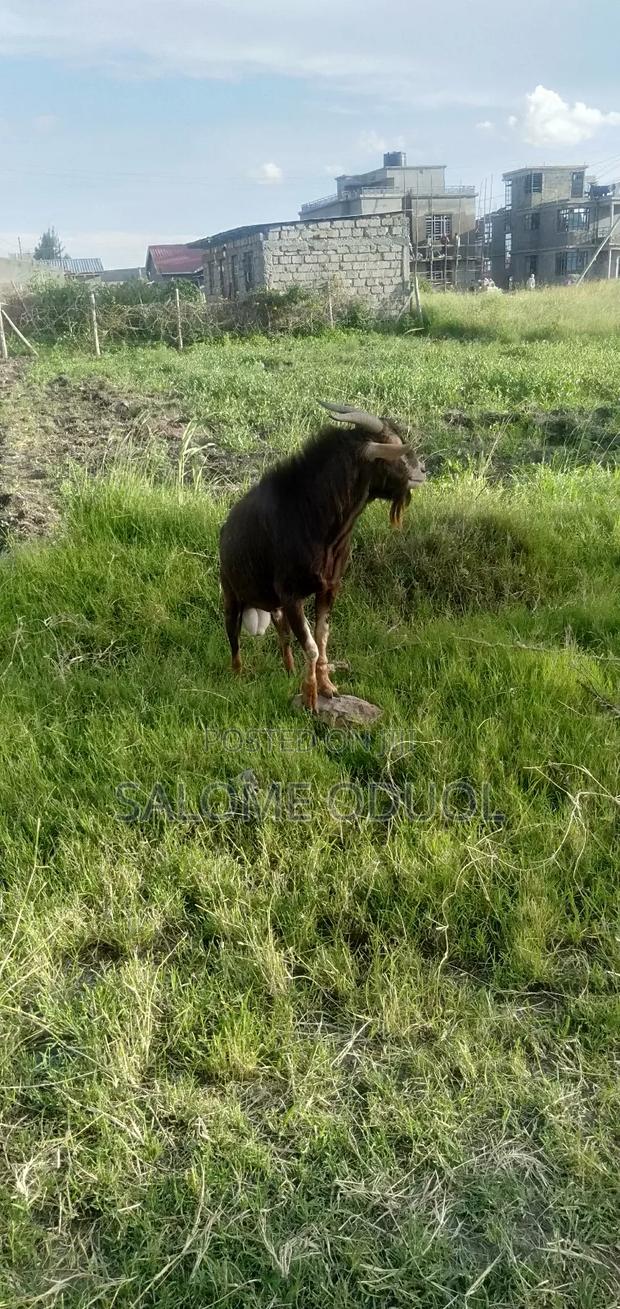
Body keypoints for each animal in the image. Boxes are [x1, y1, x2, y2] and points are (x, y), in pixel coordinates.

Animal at [219, 401, 426, 711]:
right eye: (396, 452)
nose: (422, 471)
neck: (318, 521)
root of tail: (224, 532)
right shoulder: (292, 595)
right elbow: (312, 646)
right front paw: (310, 697)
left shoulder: (329, 588)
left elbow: (321, 638)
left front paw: (327, 686)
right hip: (231, 593)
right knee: (232, 634)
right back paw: (237, 675)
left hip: (273, 604)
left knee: (282, 631)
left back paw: (288, 668)